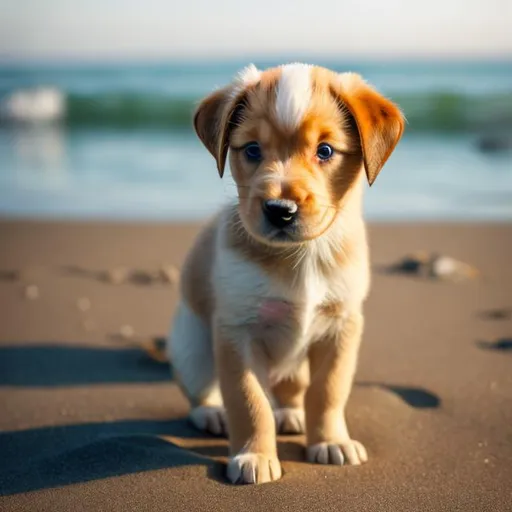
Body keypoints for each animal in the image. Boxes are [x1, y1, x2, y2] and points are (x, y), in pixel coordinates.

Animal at [168, 64, 404, 484]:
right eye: (252, 150)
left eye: (325, 151)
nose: (280, 210)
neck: (303, 255)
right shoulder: (237, 332)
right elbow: (249, 401)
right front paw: (254, 455)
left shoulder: (342, 327)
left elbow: (327, 391)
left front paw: (330, 441)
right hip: (192, 344)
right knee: (201, 390)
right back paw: (211, 412)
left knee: (291, 391)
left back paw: (291, 414)